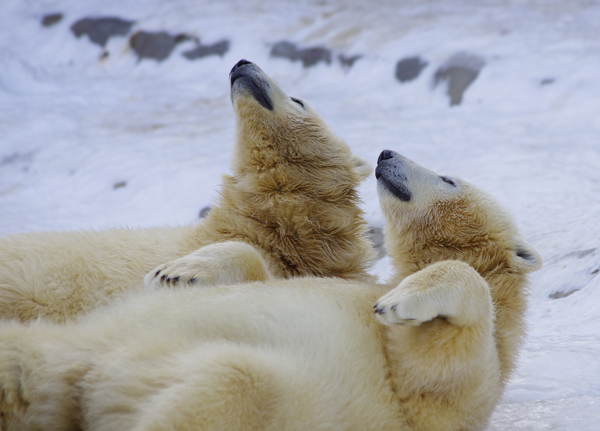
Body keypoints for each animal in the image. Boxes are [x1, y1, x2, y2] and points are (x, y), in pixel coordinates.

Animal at [0, 150, 540, 430]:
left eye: (447, 178)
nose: (387, 153)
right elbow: (261, 269)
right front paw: (181, 271)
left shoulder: (454, 393)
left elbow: (437, 359)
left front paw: (399, 301)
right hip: (61, 353)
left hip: (248, 388)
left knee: (230, 381)